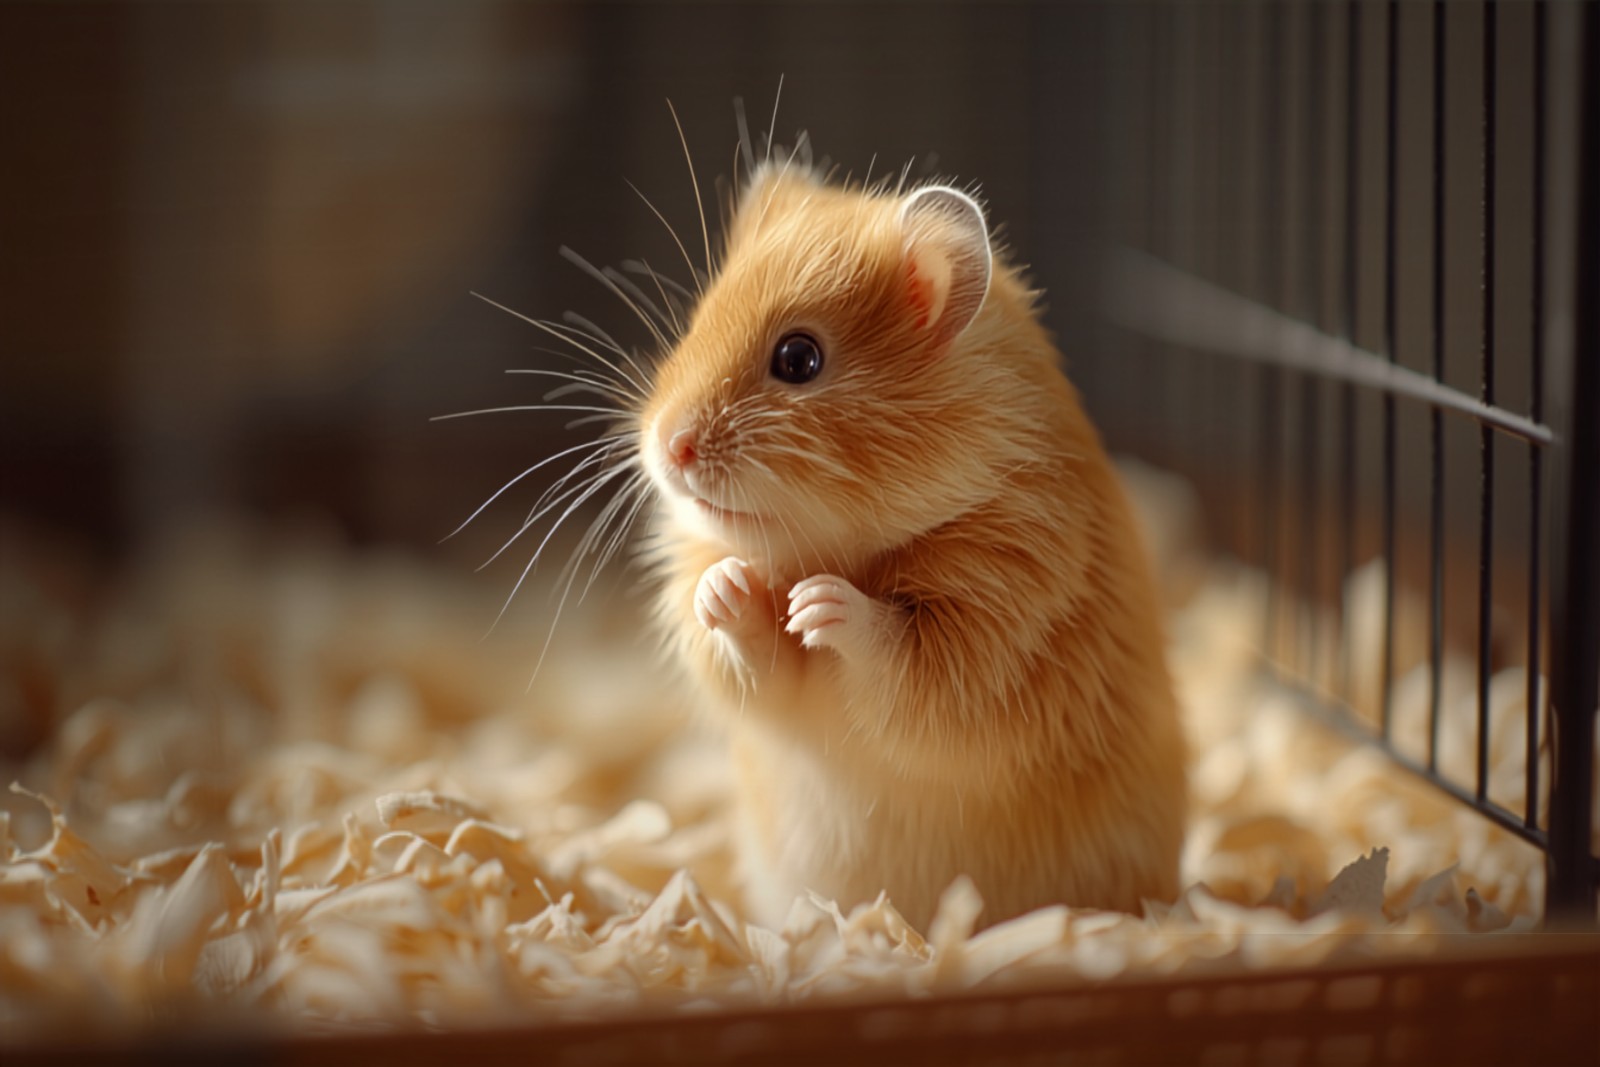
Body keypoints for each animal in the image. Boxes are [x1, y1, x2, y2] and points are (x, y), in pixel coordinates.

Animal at [637, 157, 1187, 932]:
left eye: (798, 358)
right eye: (696, 323)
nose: (667, 446)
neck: (835, 545)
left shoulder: (997, 622)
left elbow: (900, 655)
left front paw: (818, 605)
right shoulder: (765, 681)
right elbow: (754, 658)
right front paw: (727, 587)